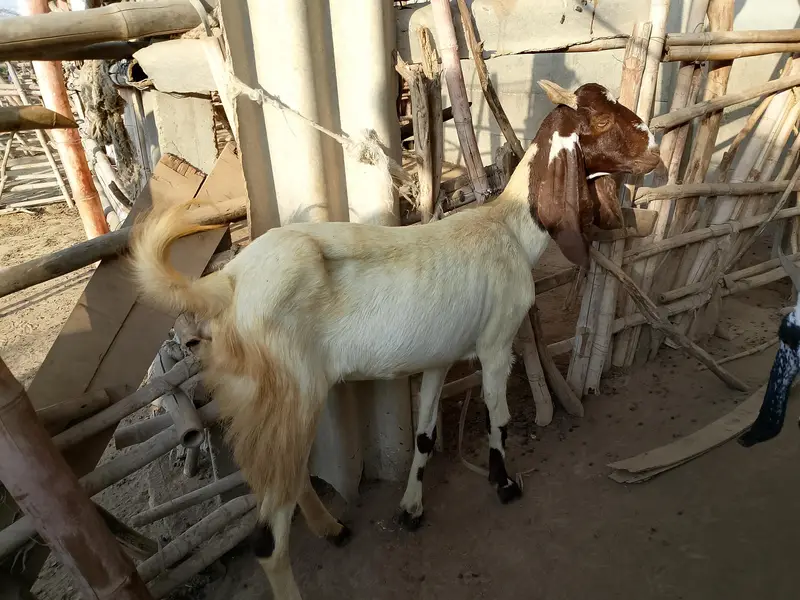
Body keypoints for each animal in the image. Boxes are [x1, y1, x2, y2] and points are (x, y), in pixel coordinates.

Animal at [130, 80, 660, 600]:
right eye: (603, 121)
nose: (654, 150)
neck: (509, 227)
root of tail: (227, 282)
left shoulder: (440, 358)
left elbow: (424, 434)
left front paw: (411, 509)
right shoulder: (495, 345)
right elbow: (501, 417)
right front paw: (504, 483)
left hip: (276, 404)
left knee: (291, 474)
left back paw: (333, 528)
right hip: (286, 398)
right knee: (268, 539)